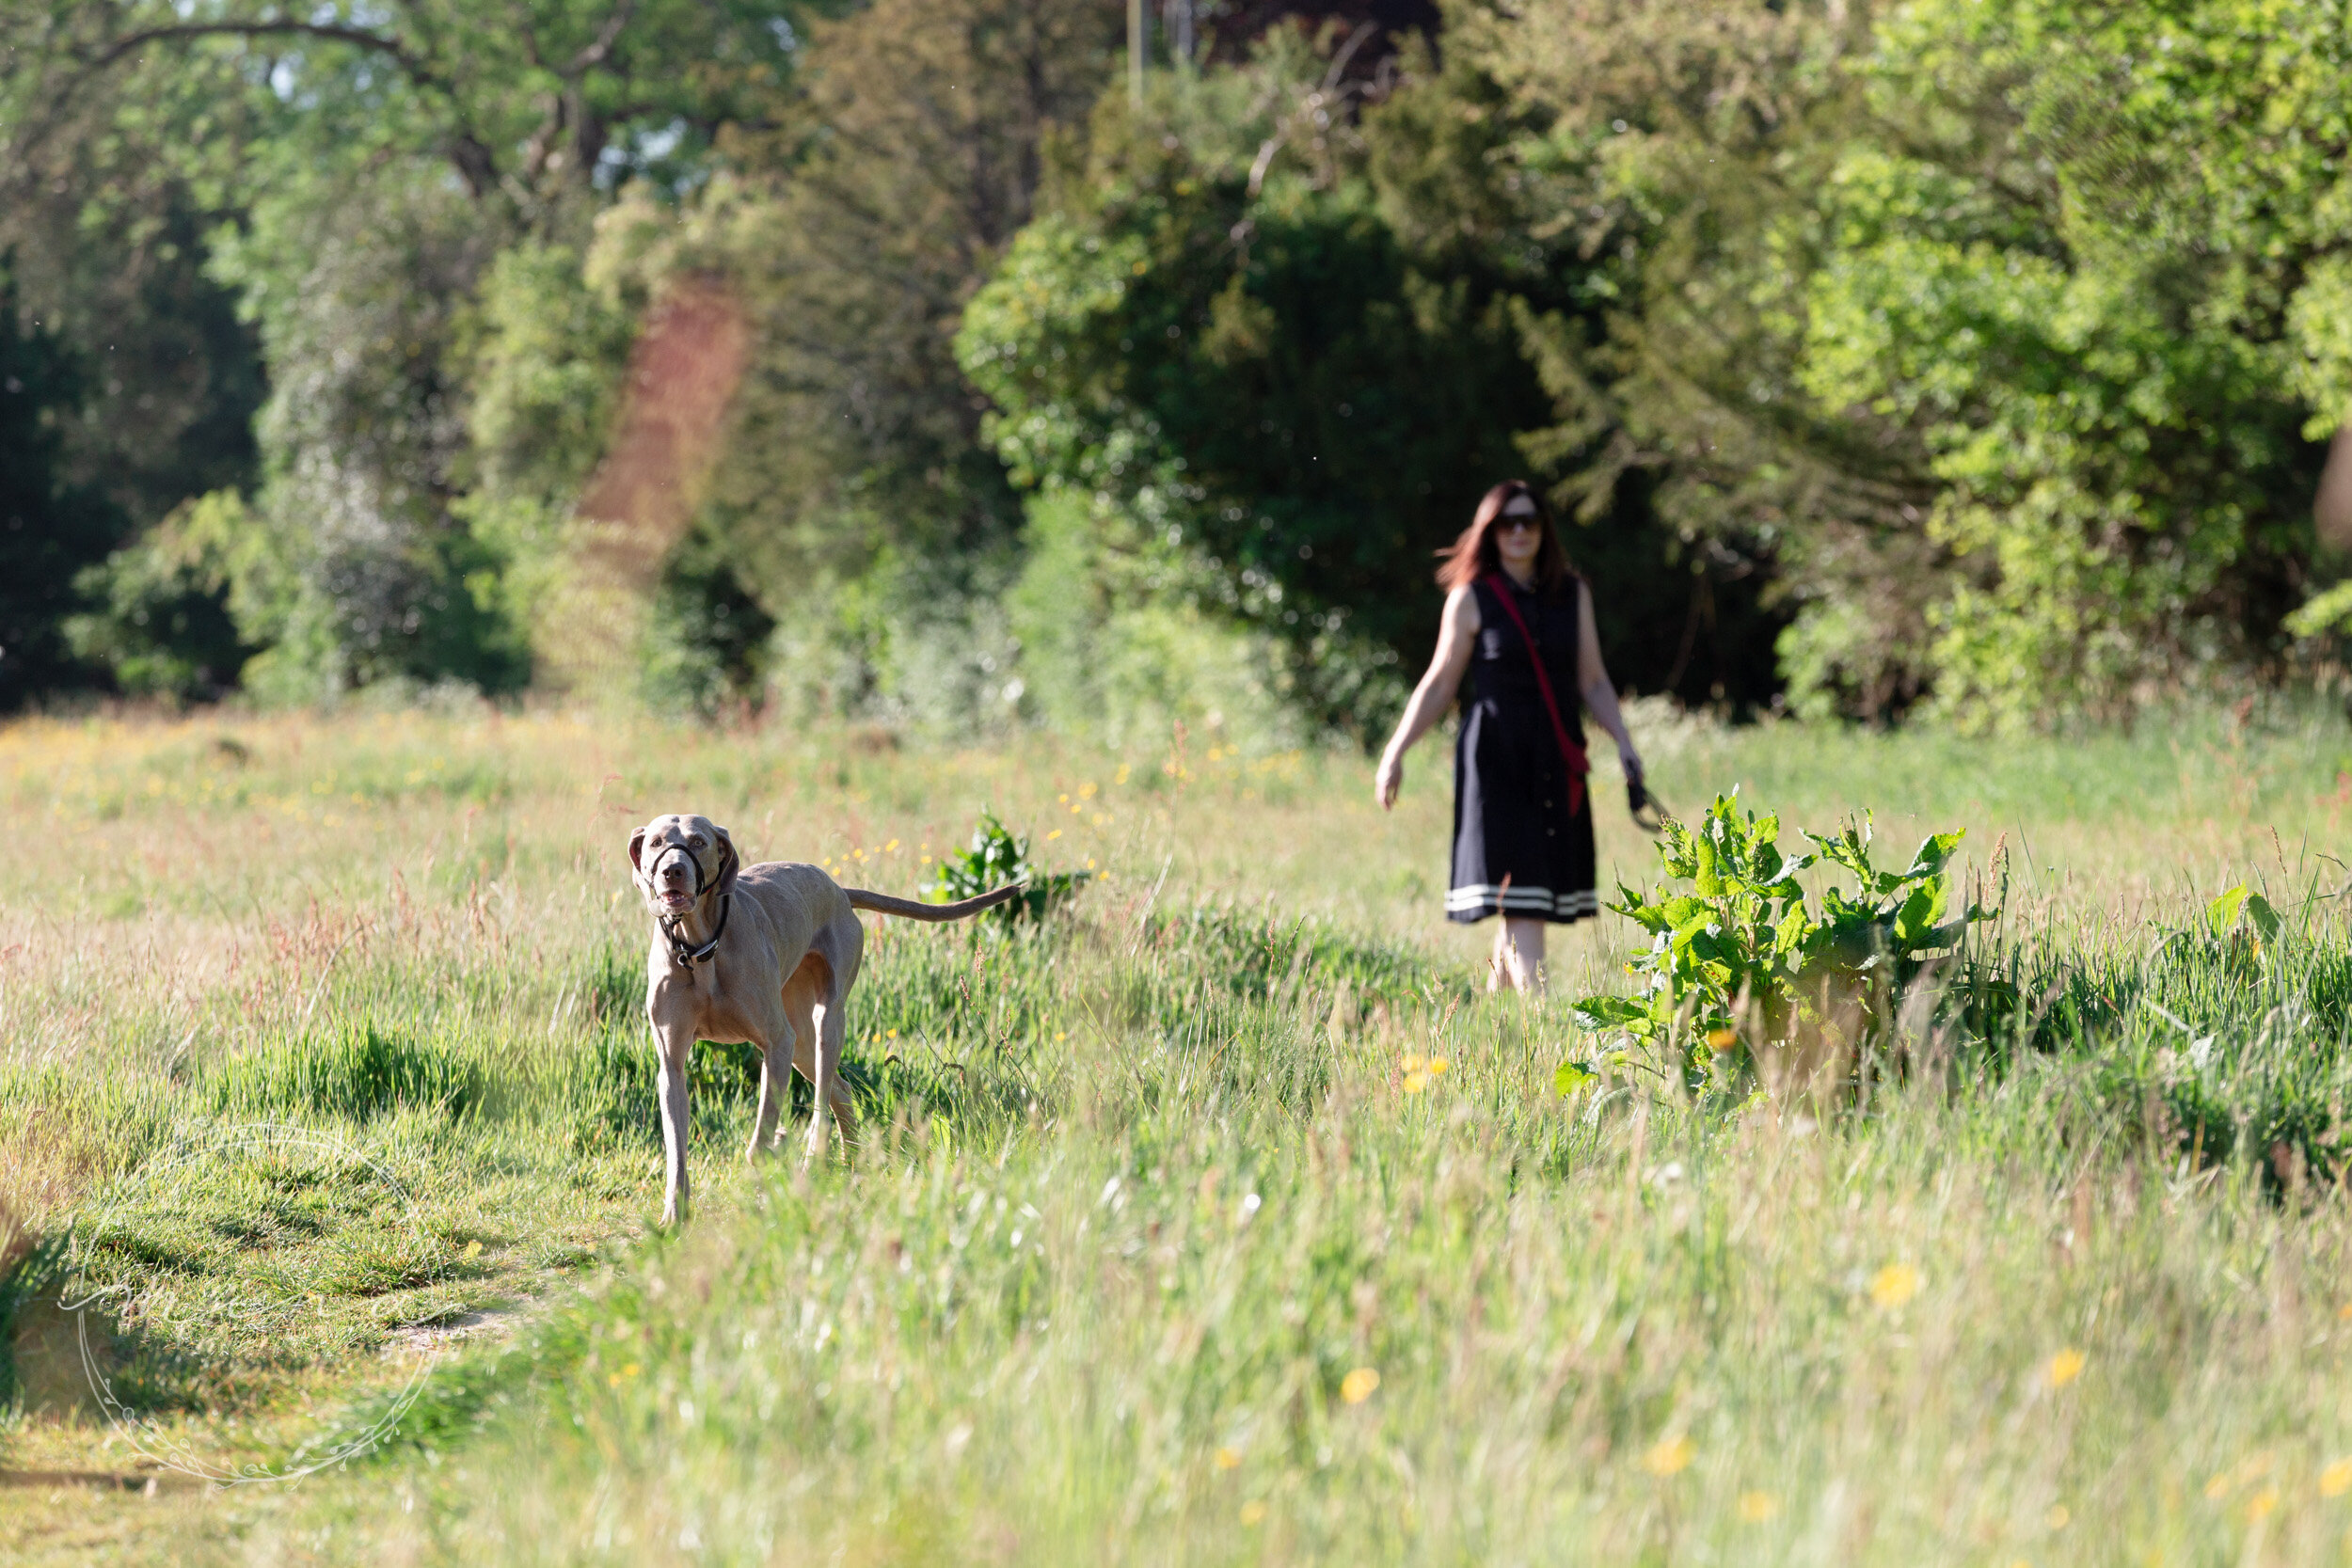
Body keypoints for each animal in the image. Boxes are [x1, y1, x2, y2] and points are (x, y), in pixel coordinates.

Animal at [630, 817, 1016, 1231]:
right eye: (656, 843)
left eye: (699, 842)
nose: (673, 871)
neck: (700, 950)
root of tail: (838, 890)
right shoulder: (671, 1065)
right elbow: (676, 1147)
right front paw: (674, 1215)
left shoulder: (777, 1043)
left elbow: (761, 1136)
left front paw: (765, 1175)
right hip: (801, 1043)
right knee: (840, 1091)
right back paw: (851, 1160)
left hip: (824, 1022)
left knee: (822, 1102)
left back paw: (815, 1161)